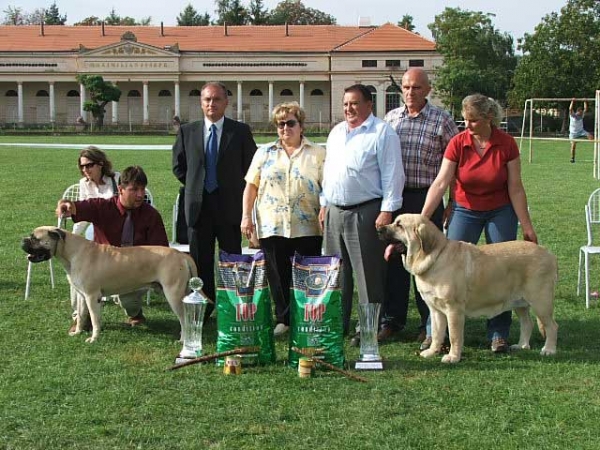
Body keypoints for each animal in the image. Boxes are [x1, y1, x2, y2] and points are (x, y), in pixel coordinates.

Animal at [22, 227, 197, 342]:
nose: (22, 240)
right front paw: (78, 332)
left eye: (35, 238)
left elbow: (95, 319)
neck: (71, 253)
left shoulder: (92, 296)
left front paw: (94, 338)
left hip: (173, 295)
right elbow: (81, 316)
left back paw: (183, 340)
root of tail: (182, 256)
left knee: (184, 319)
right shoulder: (82, 296)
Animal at [380, 213, 556, 364]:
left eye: (399, 225)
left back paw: (549, 350)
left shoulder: (454, 309)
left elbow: (454, 336)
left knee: (552, 326)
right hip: (519, 302)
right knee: (527, 324)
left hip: (541, 301)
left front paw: (453, 357)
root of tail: (548, 253)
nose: (379, 228)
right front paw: (431, 352)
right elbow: (437, 333)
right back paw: (522, 346)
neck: (434, 257)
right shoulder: (435, 309)